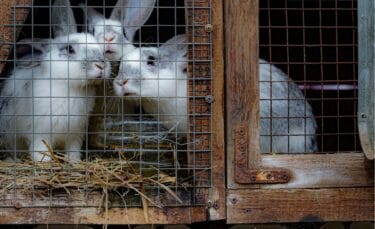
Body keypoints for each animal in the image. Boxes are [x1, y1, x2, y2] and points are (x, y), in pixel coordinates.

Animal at [0, 0, 111, 162]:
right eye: (70, 49)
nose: (101, 65)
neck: (70, 86)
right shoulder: (41, 132)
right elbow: (40, 149)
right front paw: (43, 161)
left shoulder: (75, 133)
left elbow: (73, 150)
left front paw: (74, 161)